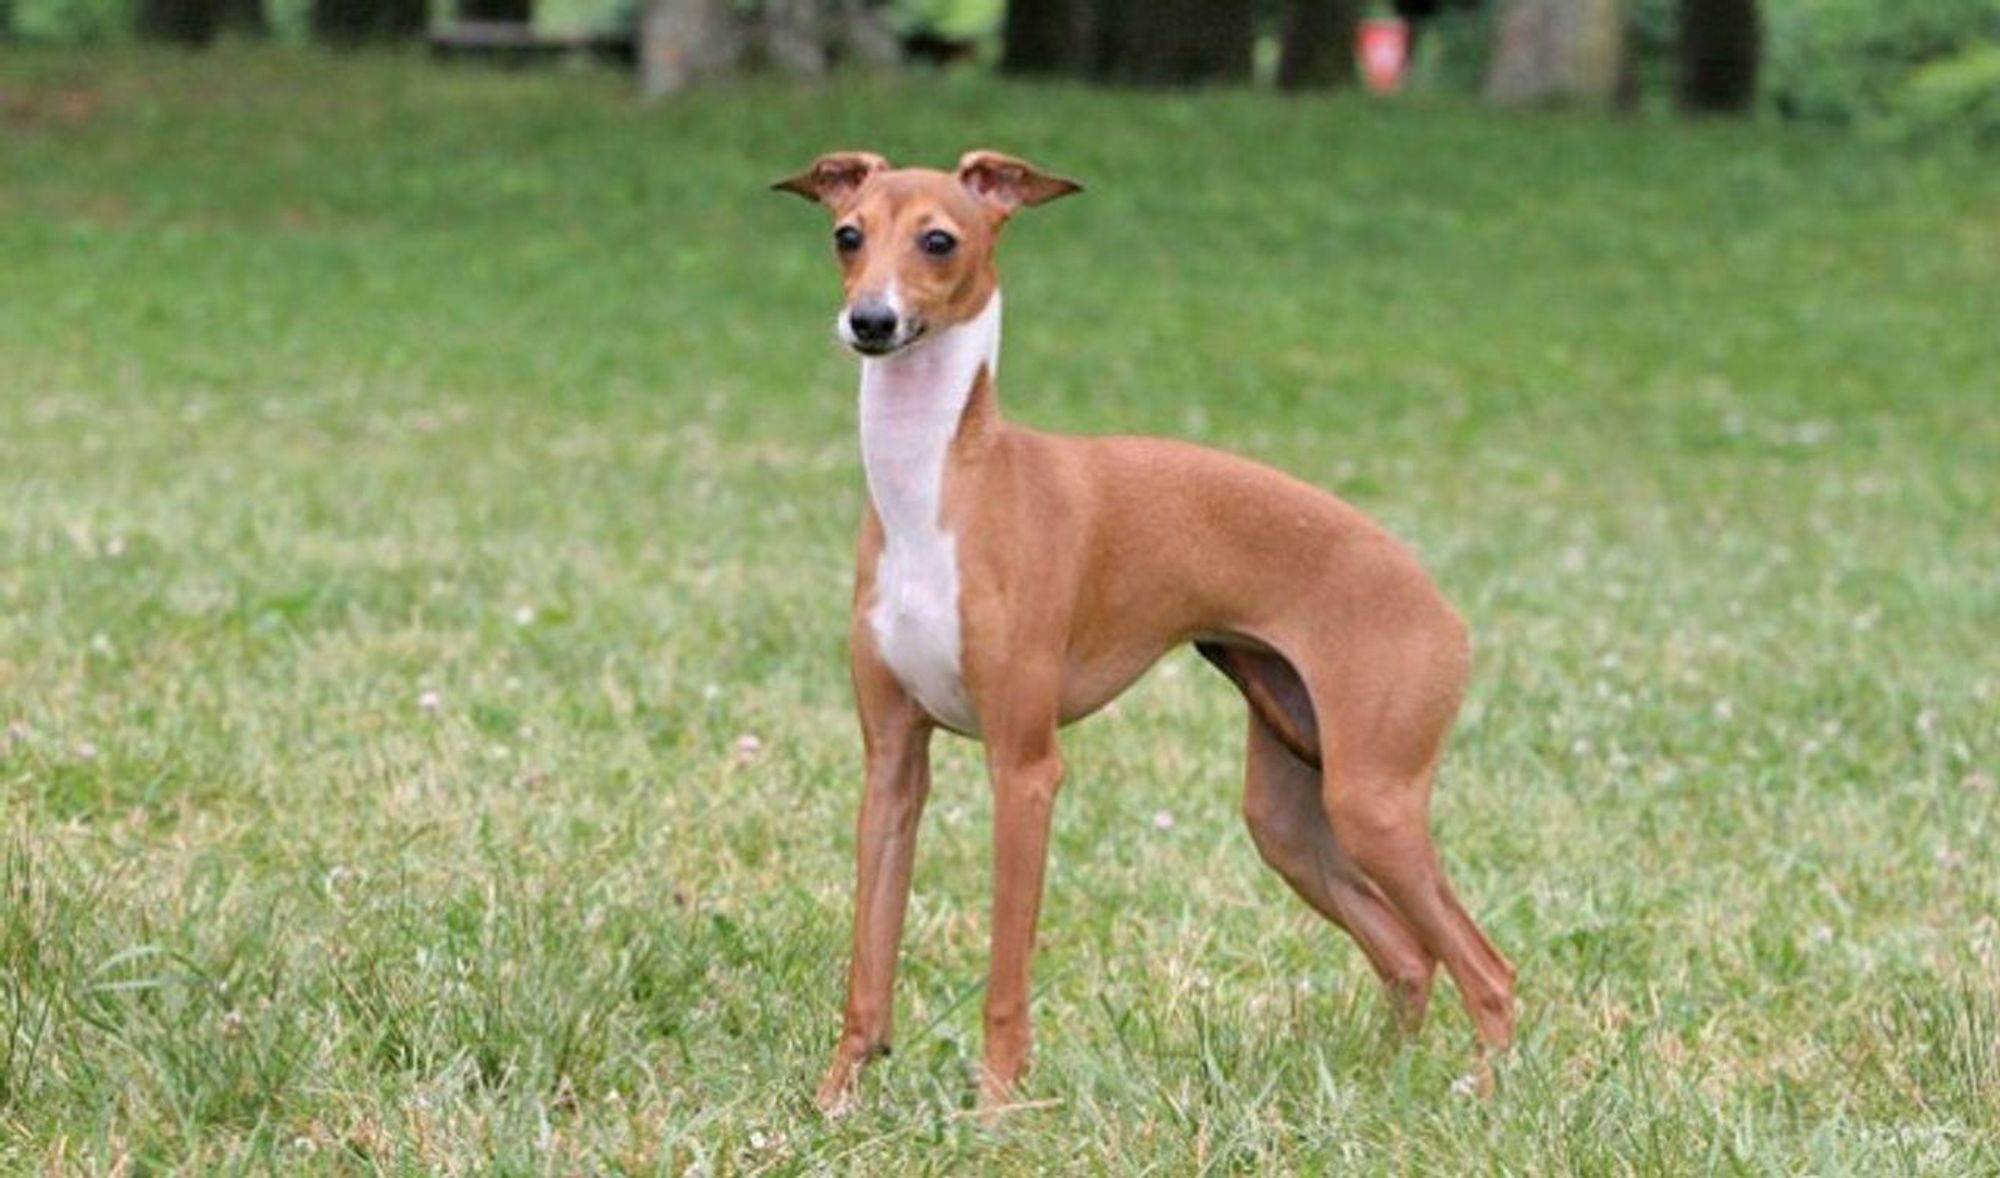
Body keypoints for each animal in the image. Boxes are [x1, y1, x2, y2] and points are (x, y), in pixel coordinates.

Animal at [776, 152, 1512, 1120]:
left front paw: (998, 1110)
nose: (871, 321)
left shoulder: (1025, 768)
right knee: (1408, 956)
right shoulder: (893, 765)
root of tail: (1440, 602)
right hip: (1291, 812)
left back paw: (1481, 1093)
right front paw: (834, 1101)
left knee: (1489, 973)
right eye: (846, 235)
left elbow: (1007, 974)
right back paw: (1376, 1087)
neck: (944, 484)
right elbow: (869, 965)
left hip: (1373, 800)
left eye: (940, 239)